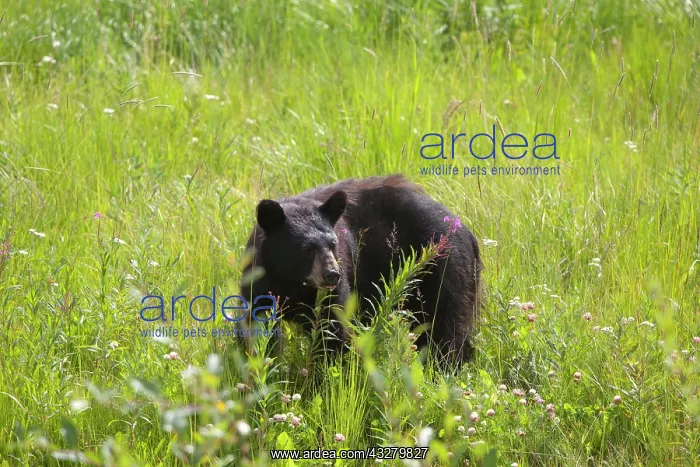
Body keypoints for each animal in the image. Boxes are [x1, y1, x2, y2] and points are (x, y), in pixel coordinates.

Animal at [240, 174, 482, 365]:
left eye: (333, 244)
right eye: (306, 249)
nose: (331, 275)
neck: (291, 280)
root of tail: (467, 231)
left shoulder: (336, 284)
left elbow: (333, 327)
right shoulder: (258, 278)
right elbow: (254, 323)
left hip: (444, 269)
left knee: (444, 322)